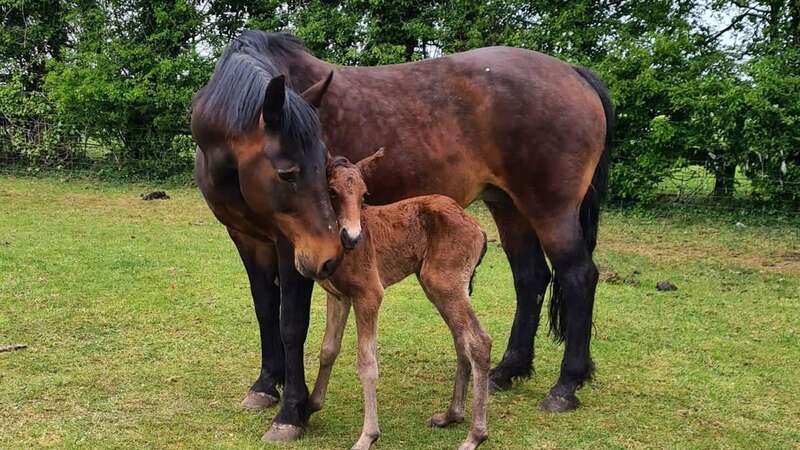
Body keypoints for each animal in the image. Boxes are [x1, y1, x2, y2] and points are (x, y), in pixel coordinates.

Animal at [310, 149, 490, 450]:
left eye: (365, 195)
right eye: (332, 191)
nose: (353, 237)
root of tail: (478, 228)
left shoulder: (369, 294)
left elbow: (367, 363)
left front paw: (368, 435)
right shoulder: (338, 296)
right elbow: (328, 349)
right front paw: (310, 404)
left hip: (445, 284)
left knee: (478, 341)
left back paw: (475, 435)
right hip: (438, 286)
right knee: (460, 339)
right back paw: (451, 415)